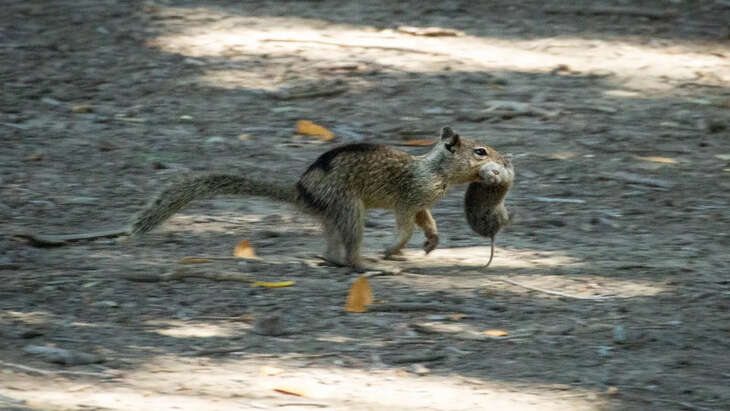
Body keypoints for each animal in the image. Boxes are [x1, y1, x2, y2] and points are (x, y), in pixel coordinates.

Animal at [128, 127, 500, 272]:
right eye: (480, 151)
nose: (504, 159)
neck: (434, 169)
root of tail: (301, 191)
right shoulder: (408, 199)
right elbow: (406, 226)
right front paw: (393, 249)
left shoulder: (422, 203)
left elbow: (428, 221)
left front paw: (431, 242)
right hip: (349, 209)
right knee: (349, 252)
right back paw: (368, 263)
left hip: (335, 215)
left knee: (332, 250)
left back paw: (332, 259)